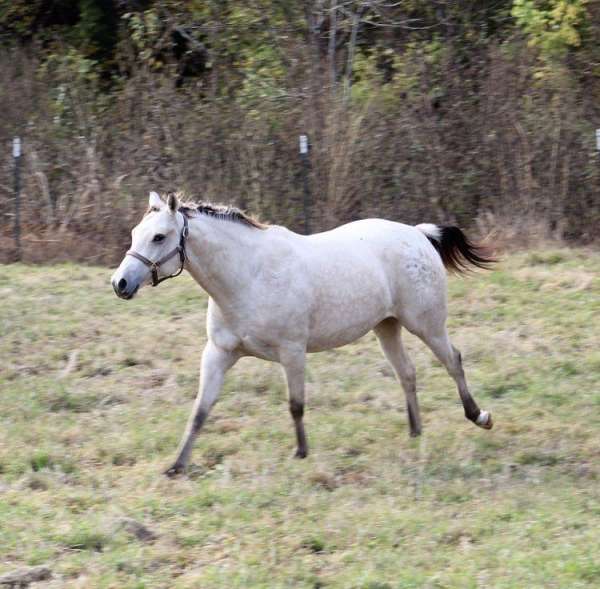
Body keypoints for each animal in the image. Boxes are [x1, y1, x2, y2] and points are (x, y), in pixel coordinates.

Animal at [110, 191, 494, 476]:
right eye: (134, 234)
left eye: (159, 236)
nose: (120, 283)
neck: (248, 276)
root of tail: (418, 233)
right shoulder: (219, 353)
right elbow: (201, 410)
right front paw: (176, 465)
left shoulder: (292, 351)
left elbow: (295, 405)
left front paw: (301, 453)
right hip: (386, 327)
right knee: (407, 373)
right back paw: (415, 432)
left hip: (426, 324)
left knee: (453, 361)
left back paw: (479, 416)